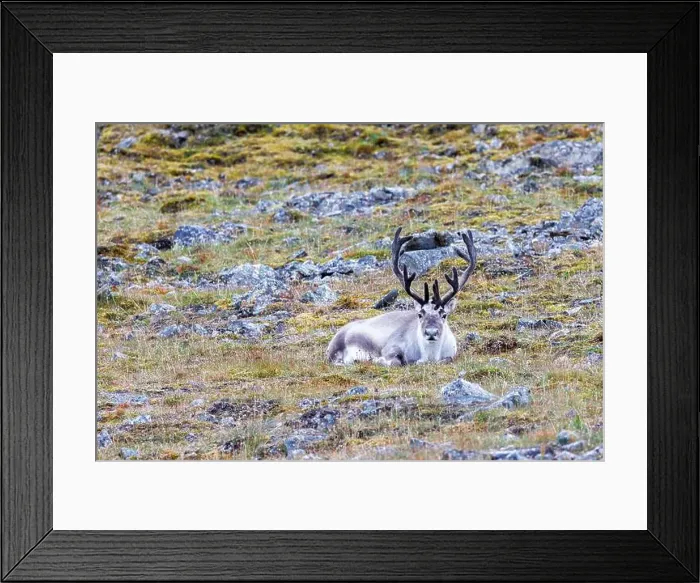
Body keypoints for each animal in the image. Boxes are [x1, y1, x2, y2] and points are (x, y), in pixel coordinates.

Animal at [326, 227, 477, 366]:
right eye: (420, 314)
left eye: (444, 314)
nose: (431, 332)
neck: (431, 356)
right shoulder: (391, 346)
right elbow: (396, 361)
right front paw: (381, 360)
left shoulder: (451, 354)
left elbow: (447, 359)